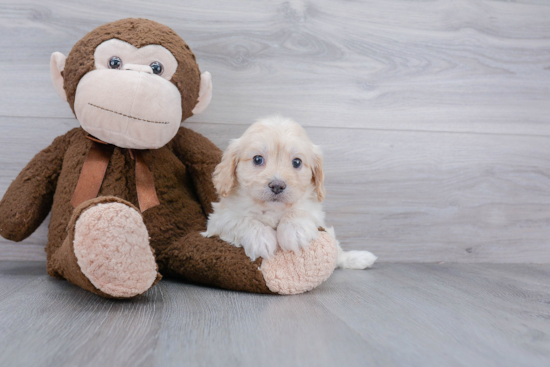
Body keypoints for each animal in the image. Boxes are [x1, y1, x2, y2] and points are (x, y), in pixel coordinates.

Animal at [203, 115, 380, 270]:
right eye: (257, 159)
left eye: (297, 162)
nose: (277, 186)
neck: (272, 209)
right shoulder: (219, 219)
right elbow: (242, 220)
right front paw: (261, 239)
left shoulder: (314, 210)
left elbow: (299, 211)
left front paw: (294, 233)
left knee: (339, 253)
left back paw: (358, 258)